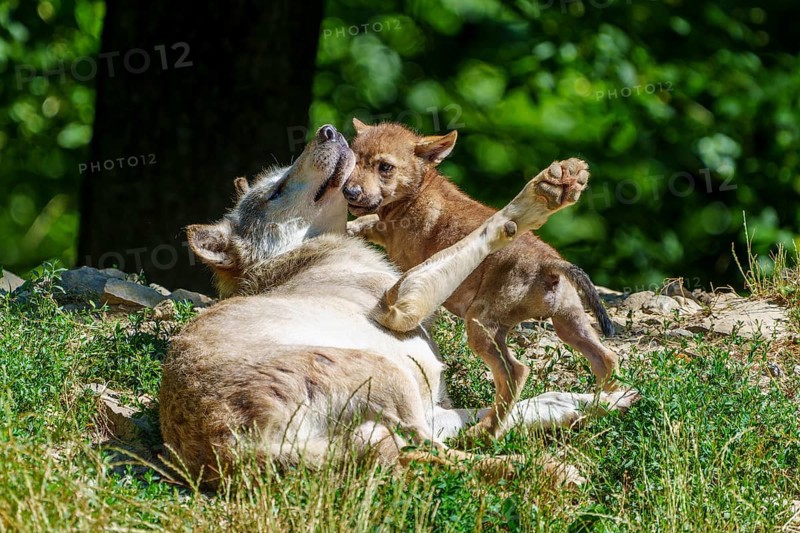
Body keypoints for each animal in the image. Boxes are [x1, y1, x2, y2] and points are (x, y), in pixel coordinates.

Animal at [159, 124, 636, 487]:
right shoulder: (399, 305)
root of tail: (232, 449)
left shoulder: (434, 406)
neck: (299, 257)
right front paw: (543, 195)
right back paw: (547, 469)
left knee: (444, 447)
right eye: (275, 190)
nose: (327, 129)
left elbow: (525, 404)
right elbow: (491, 225)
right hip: (390, 376)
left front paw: (597, 402)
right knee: (452, 452)